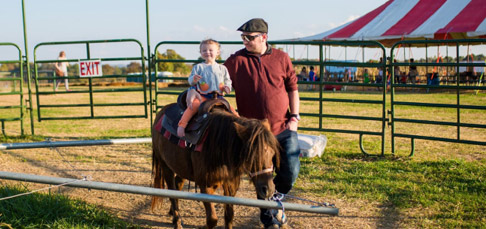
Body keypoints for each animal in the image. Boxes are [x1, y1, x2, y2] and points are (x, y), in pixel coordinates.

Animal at [152, 104, 280, 229]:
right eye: (251, 156)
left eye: (272, 153)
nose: (268, 189)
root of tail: (161, 113)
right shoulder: (205, 185)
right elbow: (212, 219)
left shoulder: (231, 185)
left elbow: (229, 216)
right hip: (165, 166)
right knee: (172, 192)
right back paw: (177, 222)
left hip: (181, 168)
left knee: (177, 186)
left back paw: (173, 214)